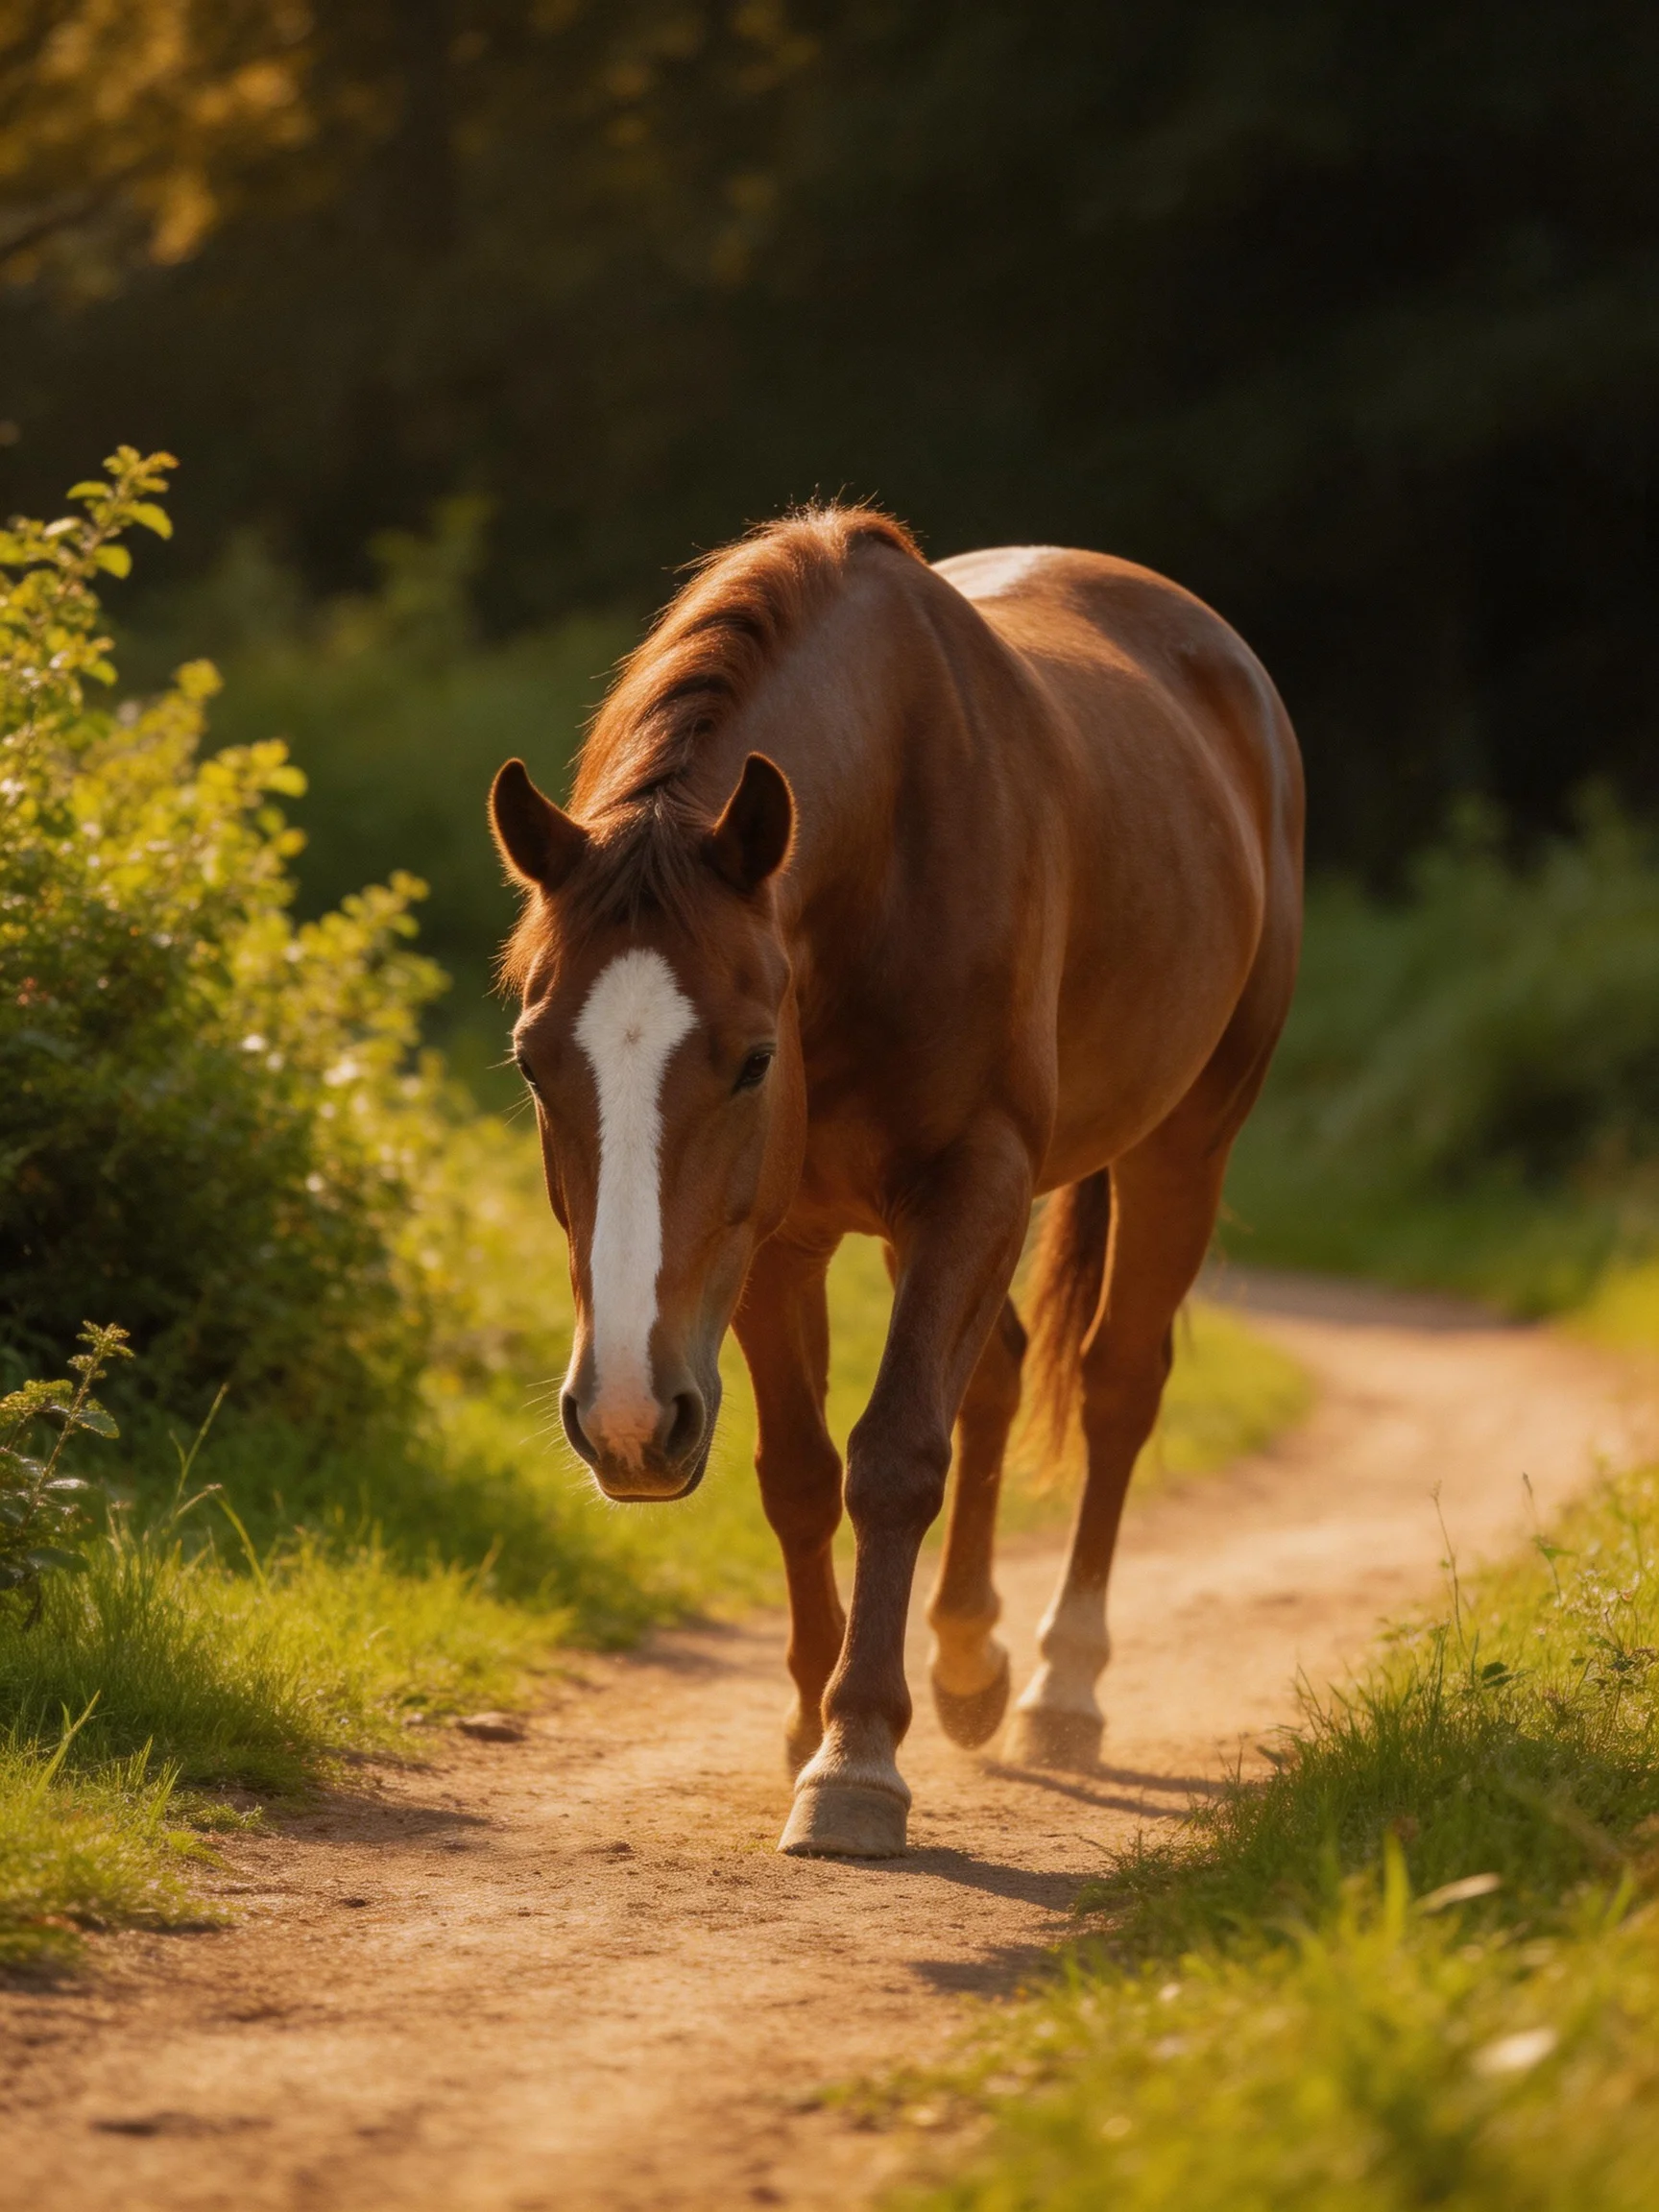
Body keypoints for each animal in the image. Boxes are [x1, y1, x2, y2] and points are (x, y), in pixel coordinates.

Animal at [490, 506, 1303, 1858]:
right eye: (533, 1060)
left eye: (750, 1060)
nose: (623, 1421)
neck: (887, 854)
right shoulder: (775, 1241)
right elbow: (802, 1476)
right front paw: (806, 1719)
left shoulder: (971, 1178)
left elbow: (892, 1457)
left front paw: (858, 1754)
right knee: (1004, 1370)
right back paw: (970, 1661)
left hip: (1185, 1141)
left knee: (1116, 1388)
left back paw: (1061, 1685)